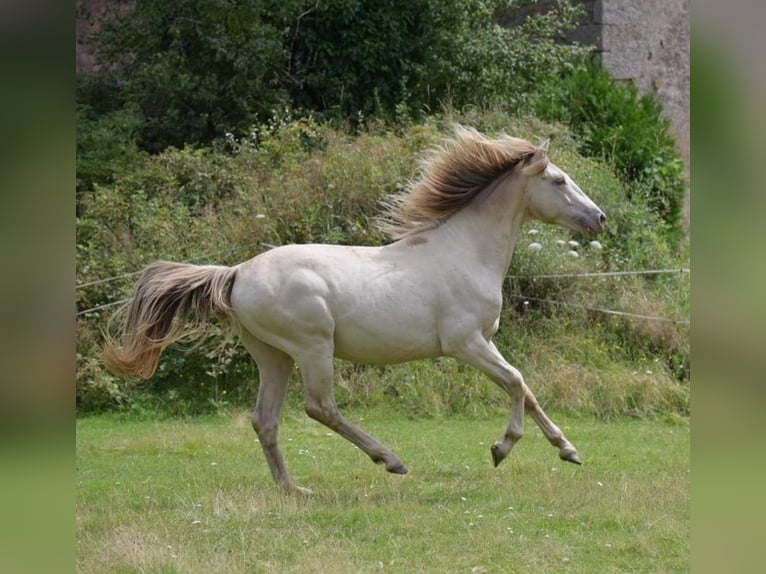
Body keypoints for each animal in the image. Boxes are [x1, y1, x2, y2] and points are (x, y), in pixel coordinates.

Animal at [103, 126, 608, 496]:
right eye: (558, 181)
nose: (599, 218)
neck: (466, 251)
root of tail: (237, 272)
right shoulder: (465, 343)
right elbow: (517, 382)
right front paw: (502, 449)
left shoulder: (486, 340)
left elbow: (527, 389)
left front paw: (569, 450)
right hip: (312, 348)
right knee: (320, 407)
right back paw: (390, 460)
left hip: (273, 355)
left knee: (265, 419)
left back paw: (294, 490)